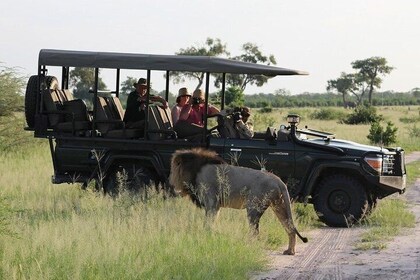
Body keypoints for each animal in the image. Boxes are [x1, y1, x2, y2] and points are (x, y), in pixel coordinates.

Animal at [168, 148, 308, 255]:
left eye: (173, 170)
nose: (170, 181)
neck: (196, 170)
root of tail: (279, 181)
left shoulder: (212, 202)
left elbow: (207, 223)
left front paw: (206, 236)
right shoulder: (215, 205)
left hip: (253, 207)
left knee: (255, 231)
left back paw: (249, 246)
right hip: (279, 206)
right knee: (290, 228)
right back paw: (290, 251)